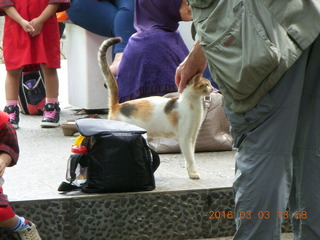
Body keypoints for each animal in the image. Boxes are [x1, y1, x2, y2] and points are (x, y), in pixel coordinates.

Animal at [97, 37, 212, 179]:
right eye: (206, 84)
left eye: (210, 83)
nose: (212, 88)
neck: (193, 104)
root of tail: (117, 106)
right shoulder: (185, 137)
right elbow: (190, 157)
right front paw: (194, 173)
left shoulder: (193, 136)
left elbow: (190, 155)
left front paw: (190, 171)